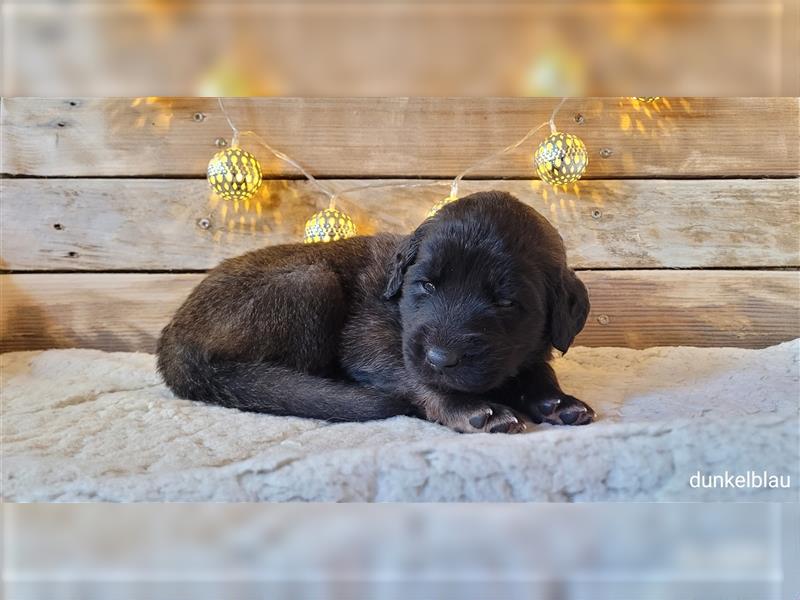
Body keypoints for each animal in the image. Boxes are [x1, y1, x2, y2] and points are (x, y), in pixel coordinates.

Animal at [158, 191, 592, 432]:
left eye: (505, 302)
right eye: (427, 285)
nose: (441, 358)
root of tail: (172, 339)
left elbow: (539, 368)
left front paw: (556, 400)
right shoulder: (369, 337)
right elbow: (415, 375)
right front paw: (467, 408)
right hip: (311, 281)